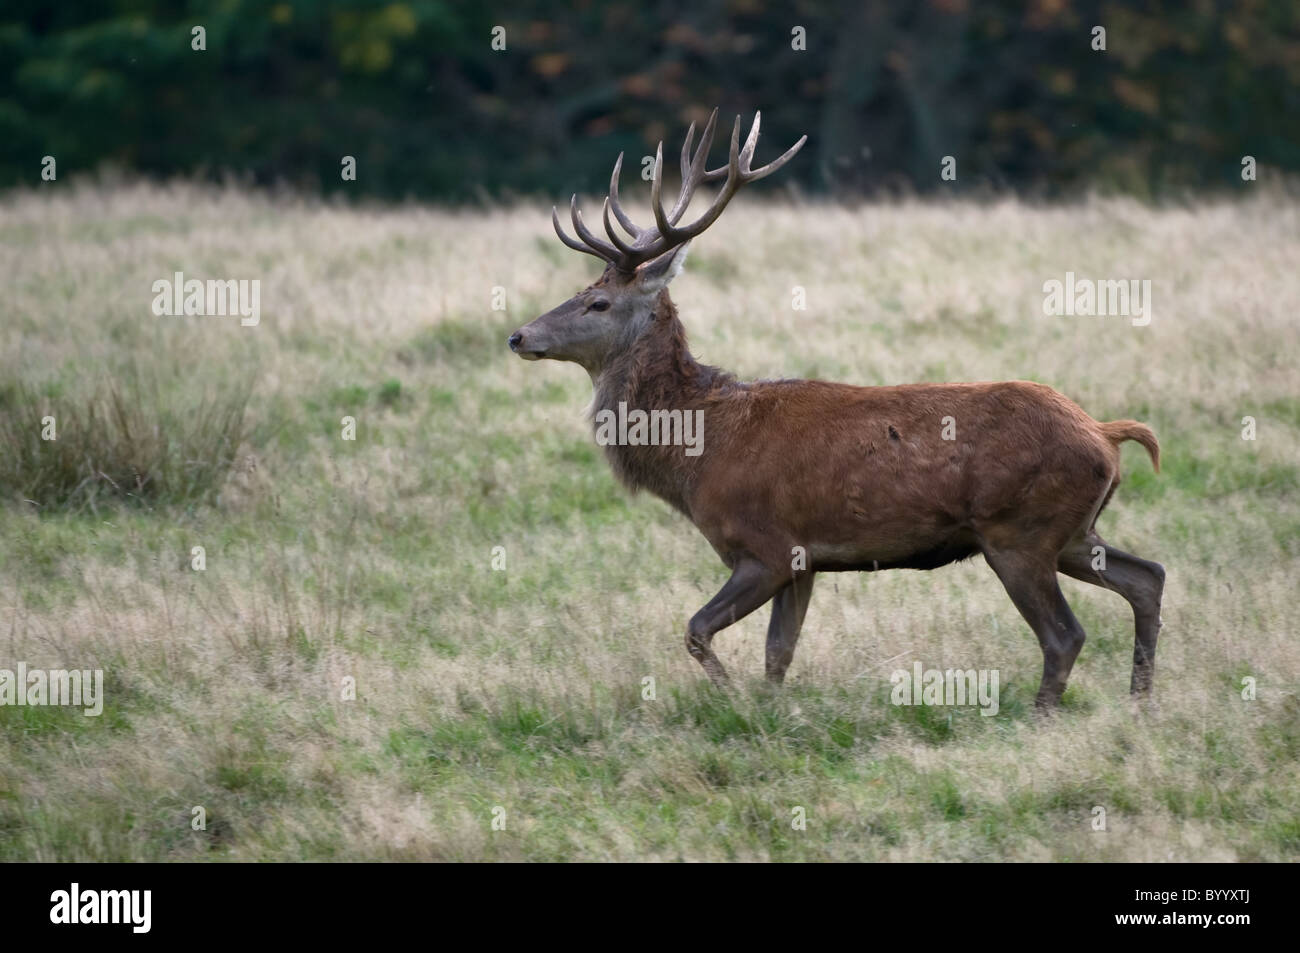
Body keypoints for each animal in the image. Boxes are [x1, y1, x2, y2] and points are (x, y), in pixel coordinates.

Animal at [501, 109, 1164, 707]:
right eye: (582, 292)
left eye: (599, 303)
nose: (518, 336)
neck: (696, 455)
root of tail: (1104, 433)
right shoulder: (804, 560)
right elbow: (778, 652)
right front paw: (770, 715)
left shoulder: (764, 545)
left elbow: (697, 631)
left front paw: (733, 702)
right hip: (1073, 531)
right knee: (1148, 577)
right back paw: (1139, 702)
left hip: (1019, 531)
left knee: (1065, 634)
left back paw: (1044, 717)